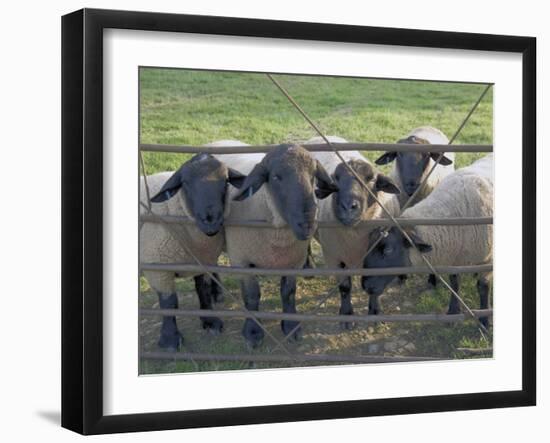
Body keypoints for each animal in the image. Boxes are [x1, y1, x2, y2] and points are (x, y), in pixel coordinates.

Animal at [141, 144, 247, 352]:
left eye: (225, 181)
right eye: (185, 183)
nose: (210, 220)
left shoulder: (202, 260)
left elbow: (202, 290)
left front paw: (211, 322)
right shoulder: (157, 267)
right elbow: (169, 302)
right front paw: (170, 340)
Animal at [215, 144, 338, 348]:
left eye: (313, 175)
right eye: (275, 177)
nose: (307, 224)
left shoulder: (292, 261)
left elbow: (288, 292)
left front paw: (290, 327)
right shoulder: (241, 261)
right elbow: (251, 296)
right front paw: (253, 333)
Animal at [306, 137, 402, 328]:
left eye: (371, 179)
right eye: (335, 180)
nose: (348, 207)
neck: (355, 236)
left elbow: (375, 285)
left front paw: (375, 311)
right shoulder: (335, 257)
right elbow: (345, 288)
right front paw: (346, 315)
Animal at [362, 154, 496, 328]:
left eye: (388, 250)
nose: (366, 286)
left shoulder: (487, 260)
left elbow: (483, 288)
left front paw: (484, 320)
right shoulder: (455, 259)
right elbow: (455, 284)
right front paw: (453, 312)